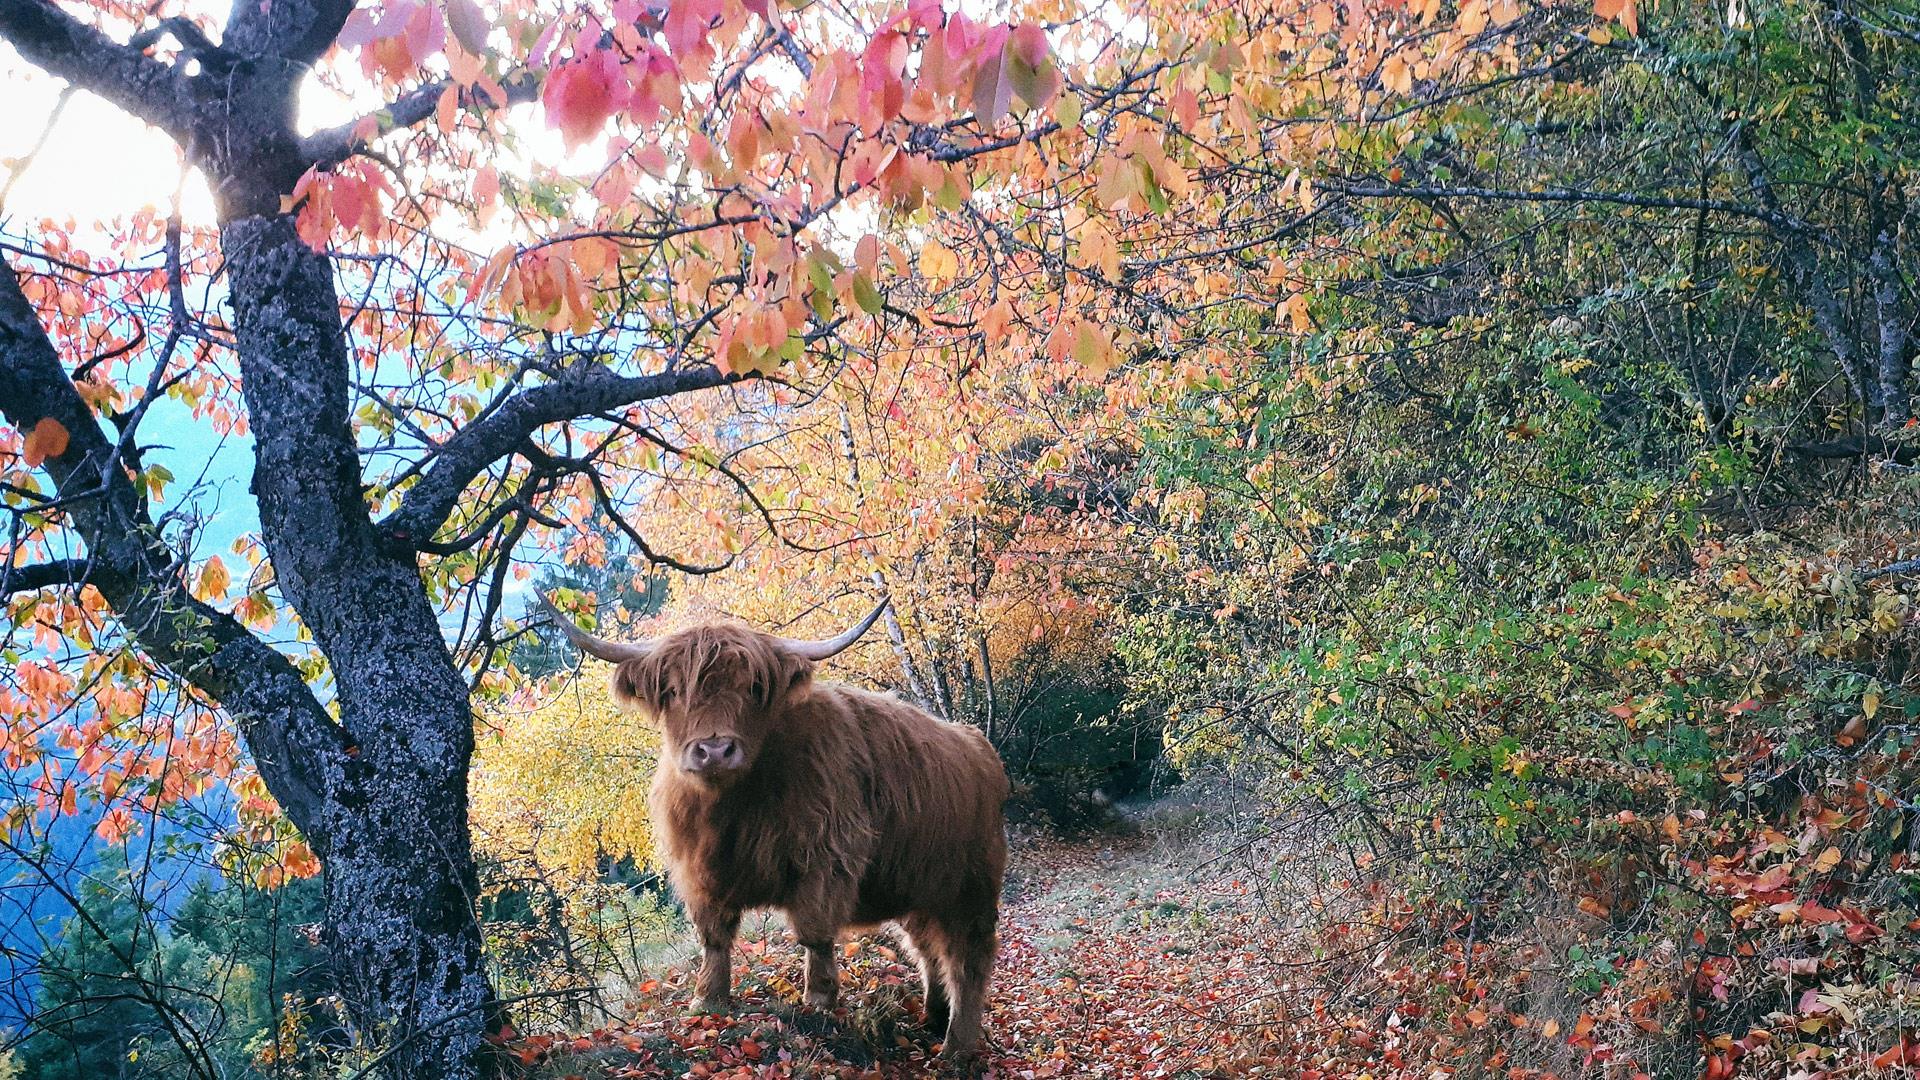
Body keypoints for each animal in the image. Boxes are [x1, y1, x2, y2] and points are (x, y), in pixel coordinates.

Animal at [541, 588, 1013, 1053]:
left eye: (753, 688)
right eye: (673, 691)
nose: (715, 750)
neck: (733, 808)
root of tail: (979, 746)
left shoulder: (825, 857)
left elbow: (814, 933)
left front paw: (819, 999)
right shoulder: (698, 868)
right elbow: (714, 936)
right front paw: (707, 1000)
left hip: (972, 885)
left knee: (969, 960)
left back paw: (957, 1048)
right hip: (918, 887)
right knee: (928, 949)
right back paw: (933, 1017)